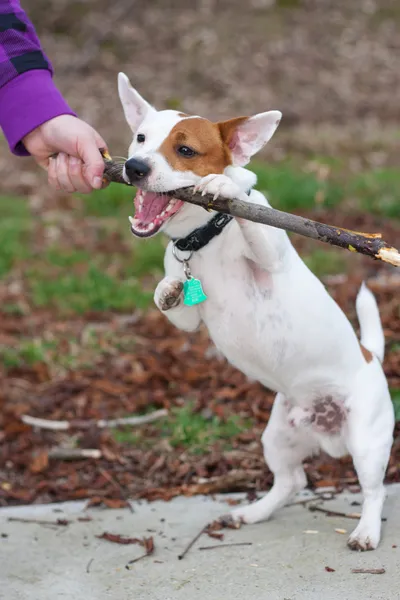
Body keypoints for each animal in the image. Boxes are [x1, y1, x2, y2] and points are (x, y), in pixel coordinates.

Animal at [118, 70, 394, 548]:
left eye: (185, 150)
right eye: (140, 138)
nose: (135, 167)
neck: (204, 239)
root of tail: (370, 357)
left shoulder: (270, 256)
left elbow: (250, 217)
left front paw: (223, 186)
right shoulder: (189, 318)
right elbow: (168, 297)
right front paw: (168, 288)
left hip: (366, 440)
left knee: (374, 490)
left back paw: (365, 531)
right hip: (278, 436)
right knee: (292, 481)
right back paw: (251, 513)